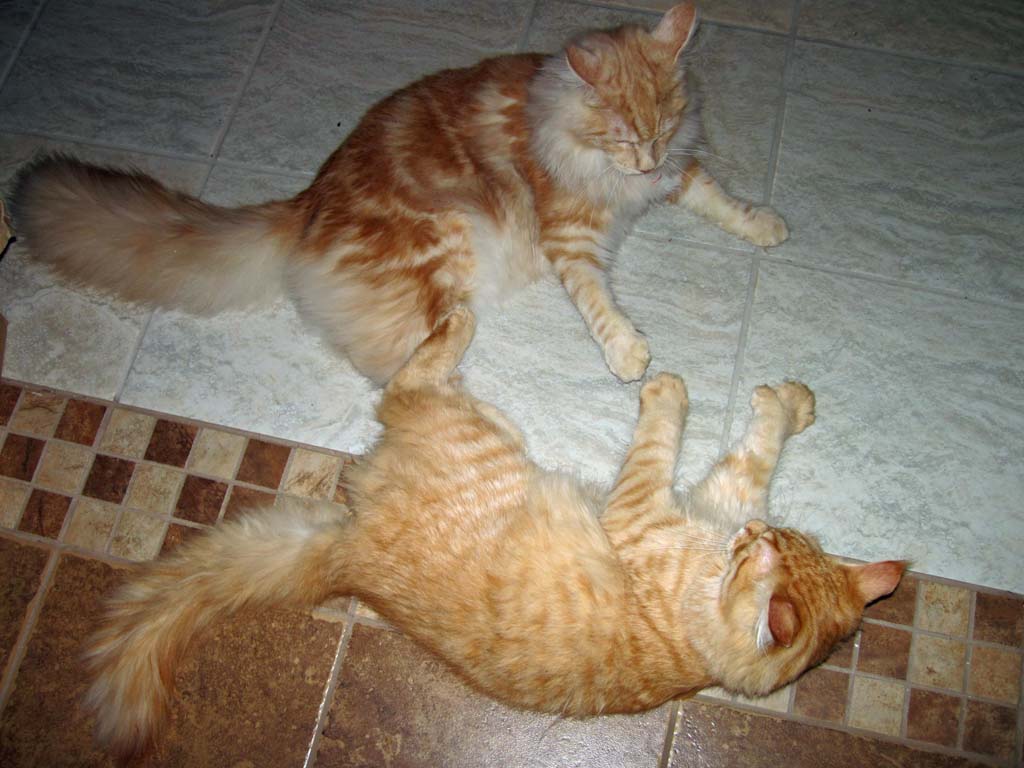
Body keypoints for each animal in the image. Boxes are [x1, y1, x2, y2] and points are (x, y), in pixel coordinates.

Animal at [13, 2, 787, 384]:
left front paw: (766, 225)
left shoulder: (678, 172)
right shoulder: (570, 239)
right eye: (624, 136)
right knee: (396, 369)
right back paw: (455, 361)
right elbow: (600, 305)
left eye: (663, 126)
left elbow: (721, 199)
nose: (647, 159)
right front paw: (627, 353)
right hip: (445, 241)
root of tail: (306, 200)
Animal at [84, 306, 904, 760]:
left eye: (749, 552)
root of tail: (350, 556)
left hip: (477, 429)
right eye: (765, 539)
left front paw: (673, 391)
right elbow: (755, 450)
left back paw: (459, 316)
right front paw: (789, 403)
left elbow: (668, 435)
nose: (751, 534)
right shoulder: (715, 496)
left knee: (407, 380)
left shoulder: (642, 509)